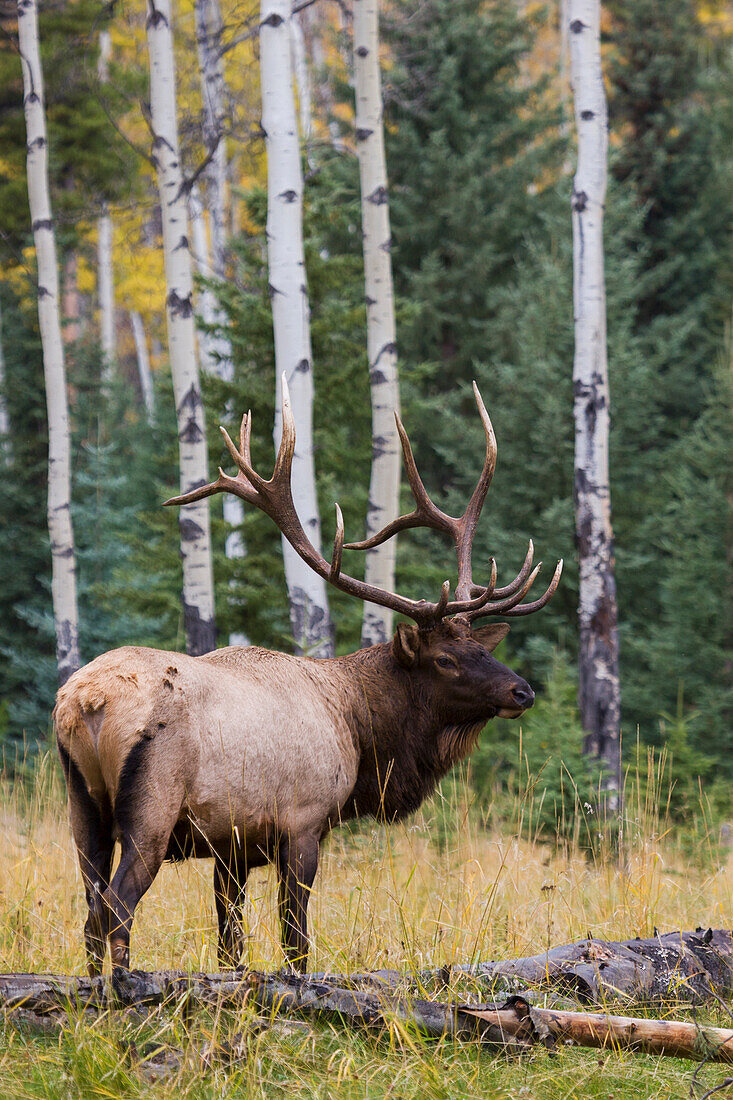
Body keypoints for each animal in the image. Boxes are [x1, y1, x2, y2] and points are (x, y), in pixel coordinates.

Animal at [55, 382, 559, 976]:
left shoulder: (232, 846)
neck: (360, 731)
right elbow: (295, 941)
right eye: (444, 660)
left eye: (478, 647)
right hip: (151, 805)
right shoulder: (303, 822)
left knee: (90, 911)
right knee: (116, 907)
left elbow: (231, 944)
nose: (522, 690)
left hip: (82, 808)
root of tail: (87, 701)